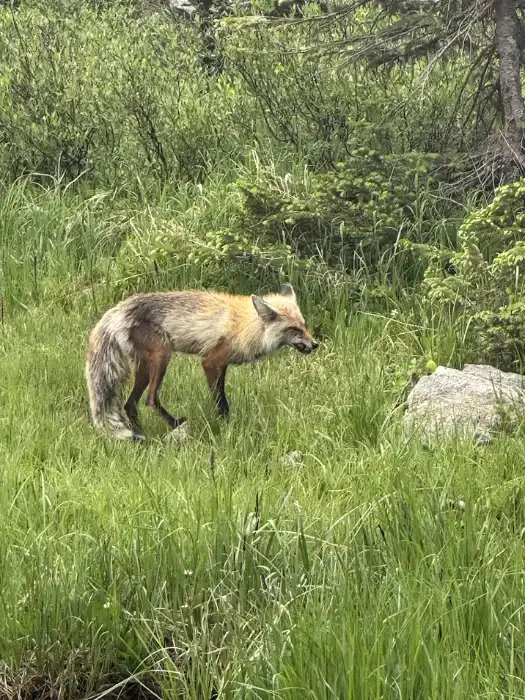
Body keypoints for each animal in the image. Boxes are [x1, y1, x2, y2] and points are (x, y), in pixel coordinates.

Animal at [85, 283, 318, 440]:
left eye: (304, 325)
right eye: (293, 329)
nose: (315, 344)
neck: (245, 325)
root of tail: (118, 310)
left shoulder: (222, 365)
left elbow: (221, 395)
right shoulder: (210, 362)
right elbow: (221, 401)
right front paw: (225, 426)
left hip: (145, 366)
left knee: (130, 404)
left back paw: (141, 434)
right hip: (162, 356)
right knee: (150, 400)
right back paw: (172, 424)